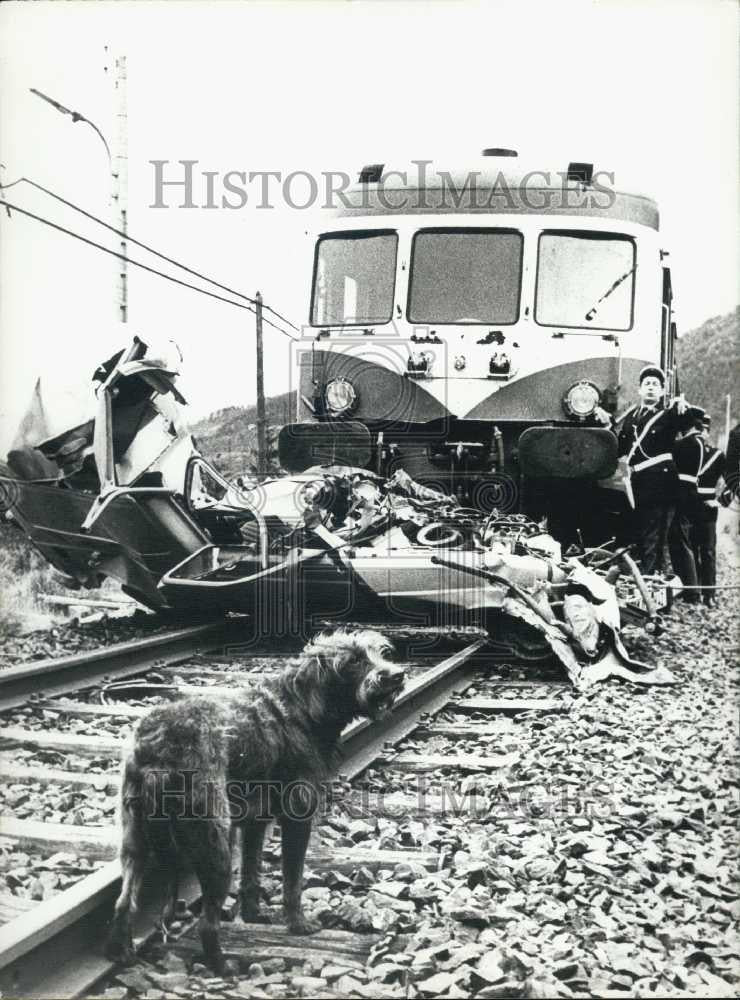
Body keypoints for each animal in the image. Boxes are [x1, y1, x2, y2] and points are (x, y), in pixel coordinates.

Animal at [107, 628, 402, 972]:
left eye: (379, 652)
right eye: (354, 661)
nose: (397, 674)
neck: (302, 708)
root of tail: (156, 745)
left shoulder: (254, 821)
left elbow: (251, 872)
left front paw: (253, 914)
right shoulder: (297, 817)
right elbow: (292, 880)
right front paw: (298, 924)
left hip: (135, 842)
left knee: (123, 903)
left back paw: (123, 953)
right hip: (217, 844)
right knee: (207, 924)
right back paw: (223, 967)